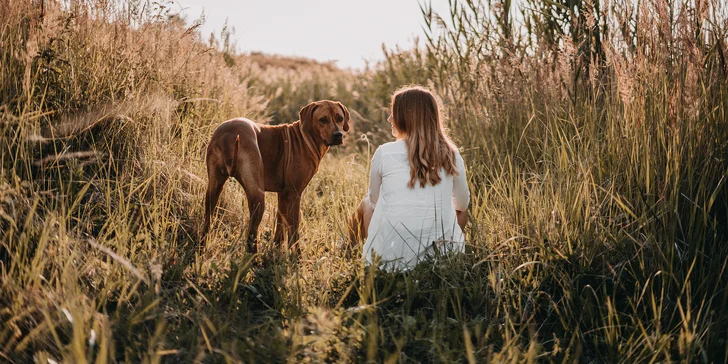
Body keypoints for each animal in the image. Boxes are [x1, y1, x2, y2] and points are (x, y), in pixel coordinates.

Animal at [202, 99, 350, 253]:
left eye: (340, 118)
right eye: (323, 120)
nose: (338, 135)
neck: (306, 138)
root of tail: (228, 135)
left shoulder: (283, 194)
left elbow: (280, 224)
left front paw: (276, 248)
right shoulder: (294, 193)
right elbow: (293, 228)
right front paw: (296, 254)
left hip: (213, 190)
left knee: (207, 220)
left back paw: (202, 247)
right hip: (258, 196)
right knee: (252, 233)